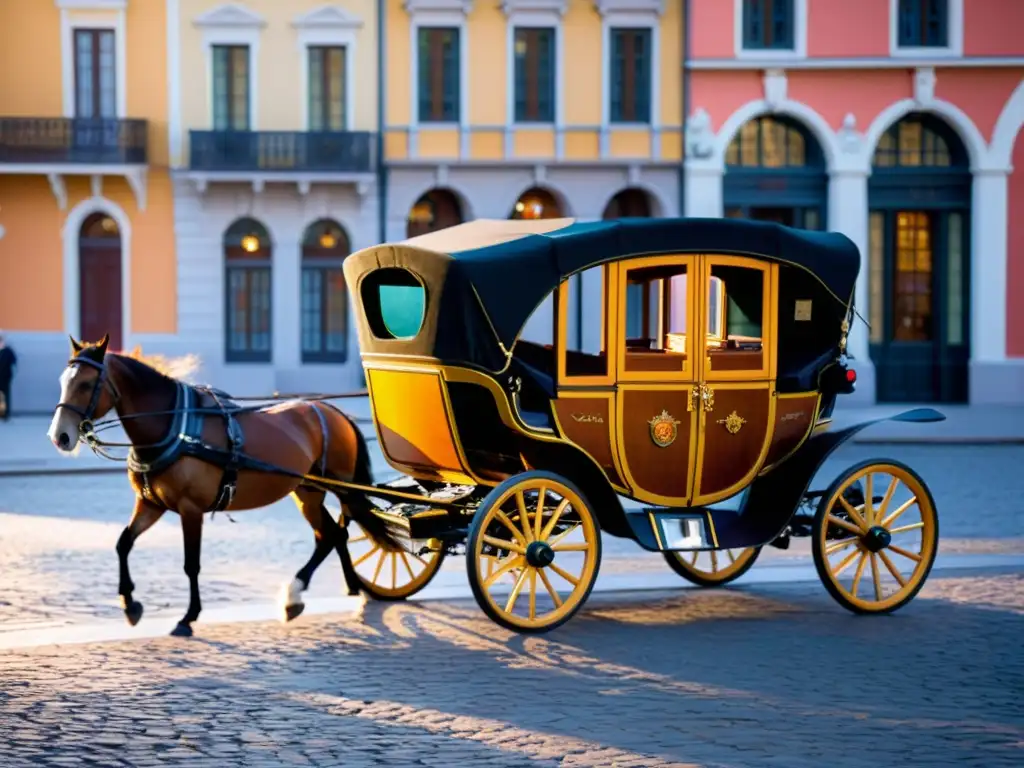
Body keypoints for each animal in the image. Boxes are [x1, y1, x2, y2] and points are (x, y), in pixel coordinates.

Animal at [48, 335, 399, 638]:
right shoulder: (151, 504)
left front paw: (188, 616)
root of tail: (332, 410)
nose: (59, 436)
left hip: (342, 487)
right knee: (331, 535)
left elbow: (191, 564)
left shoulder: (190, 509)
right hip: (307, 492)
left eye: (86, 383)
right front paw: (130, 603)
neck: (173, 425)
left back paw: (315, 590)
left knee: (338, 530)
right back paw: (326, 590)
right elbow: (123, 543)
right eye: (63, 381)